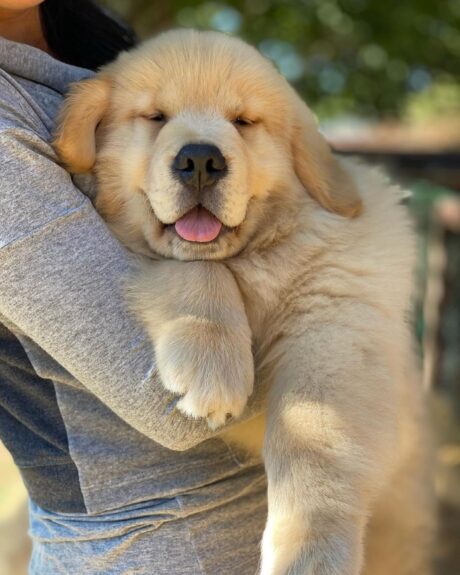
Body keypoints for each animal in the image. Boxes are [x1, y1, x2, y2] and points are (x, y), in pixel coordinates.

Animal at [54, 30, 434, 575]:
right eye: (155, 116)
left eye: (244, 122)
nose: (200, 160)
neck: (258, 255)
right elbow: (200, 268)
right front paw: (212, 364)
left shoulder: (337, 327)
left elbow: (315, 443)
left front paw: (308, 554)